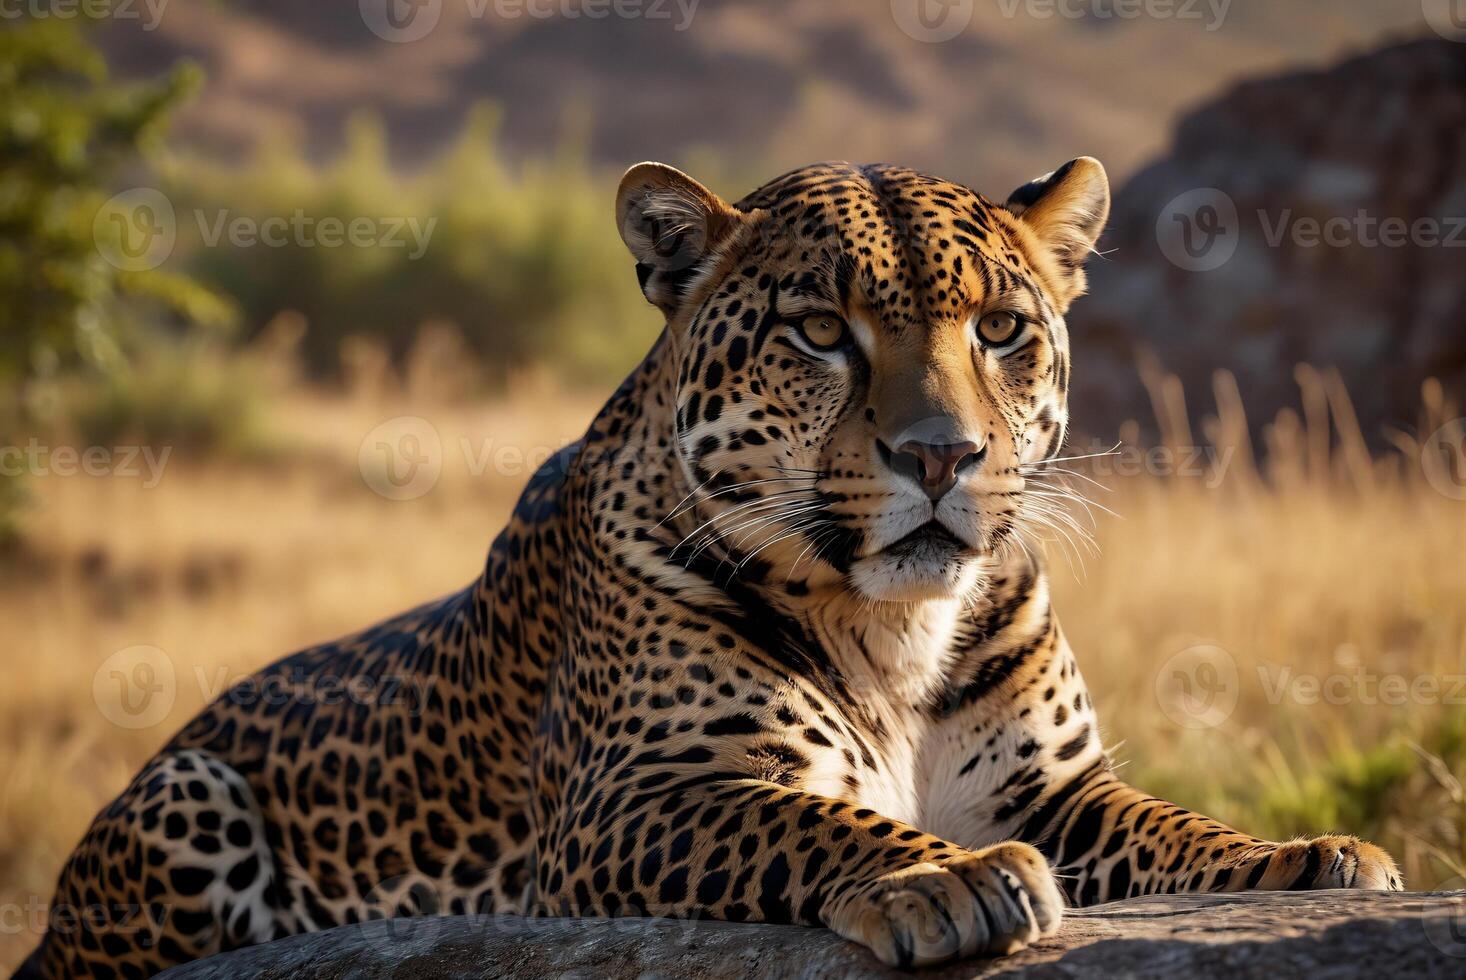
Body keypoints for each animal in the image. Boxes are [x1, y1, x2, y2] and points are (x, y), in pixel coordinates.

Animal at [17, 156, 1401, 974]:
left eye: (1002, 328)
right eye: (820, 331)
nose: (942, 454)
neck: (896, 627)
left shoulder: (1053, 789)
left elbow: (1173, 822)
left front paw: (1309, 858)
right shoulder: (637, 796)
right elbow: (805, 817)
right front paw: (942, 875)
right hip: (185, 788)